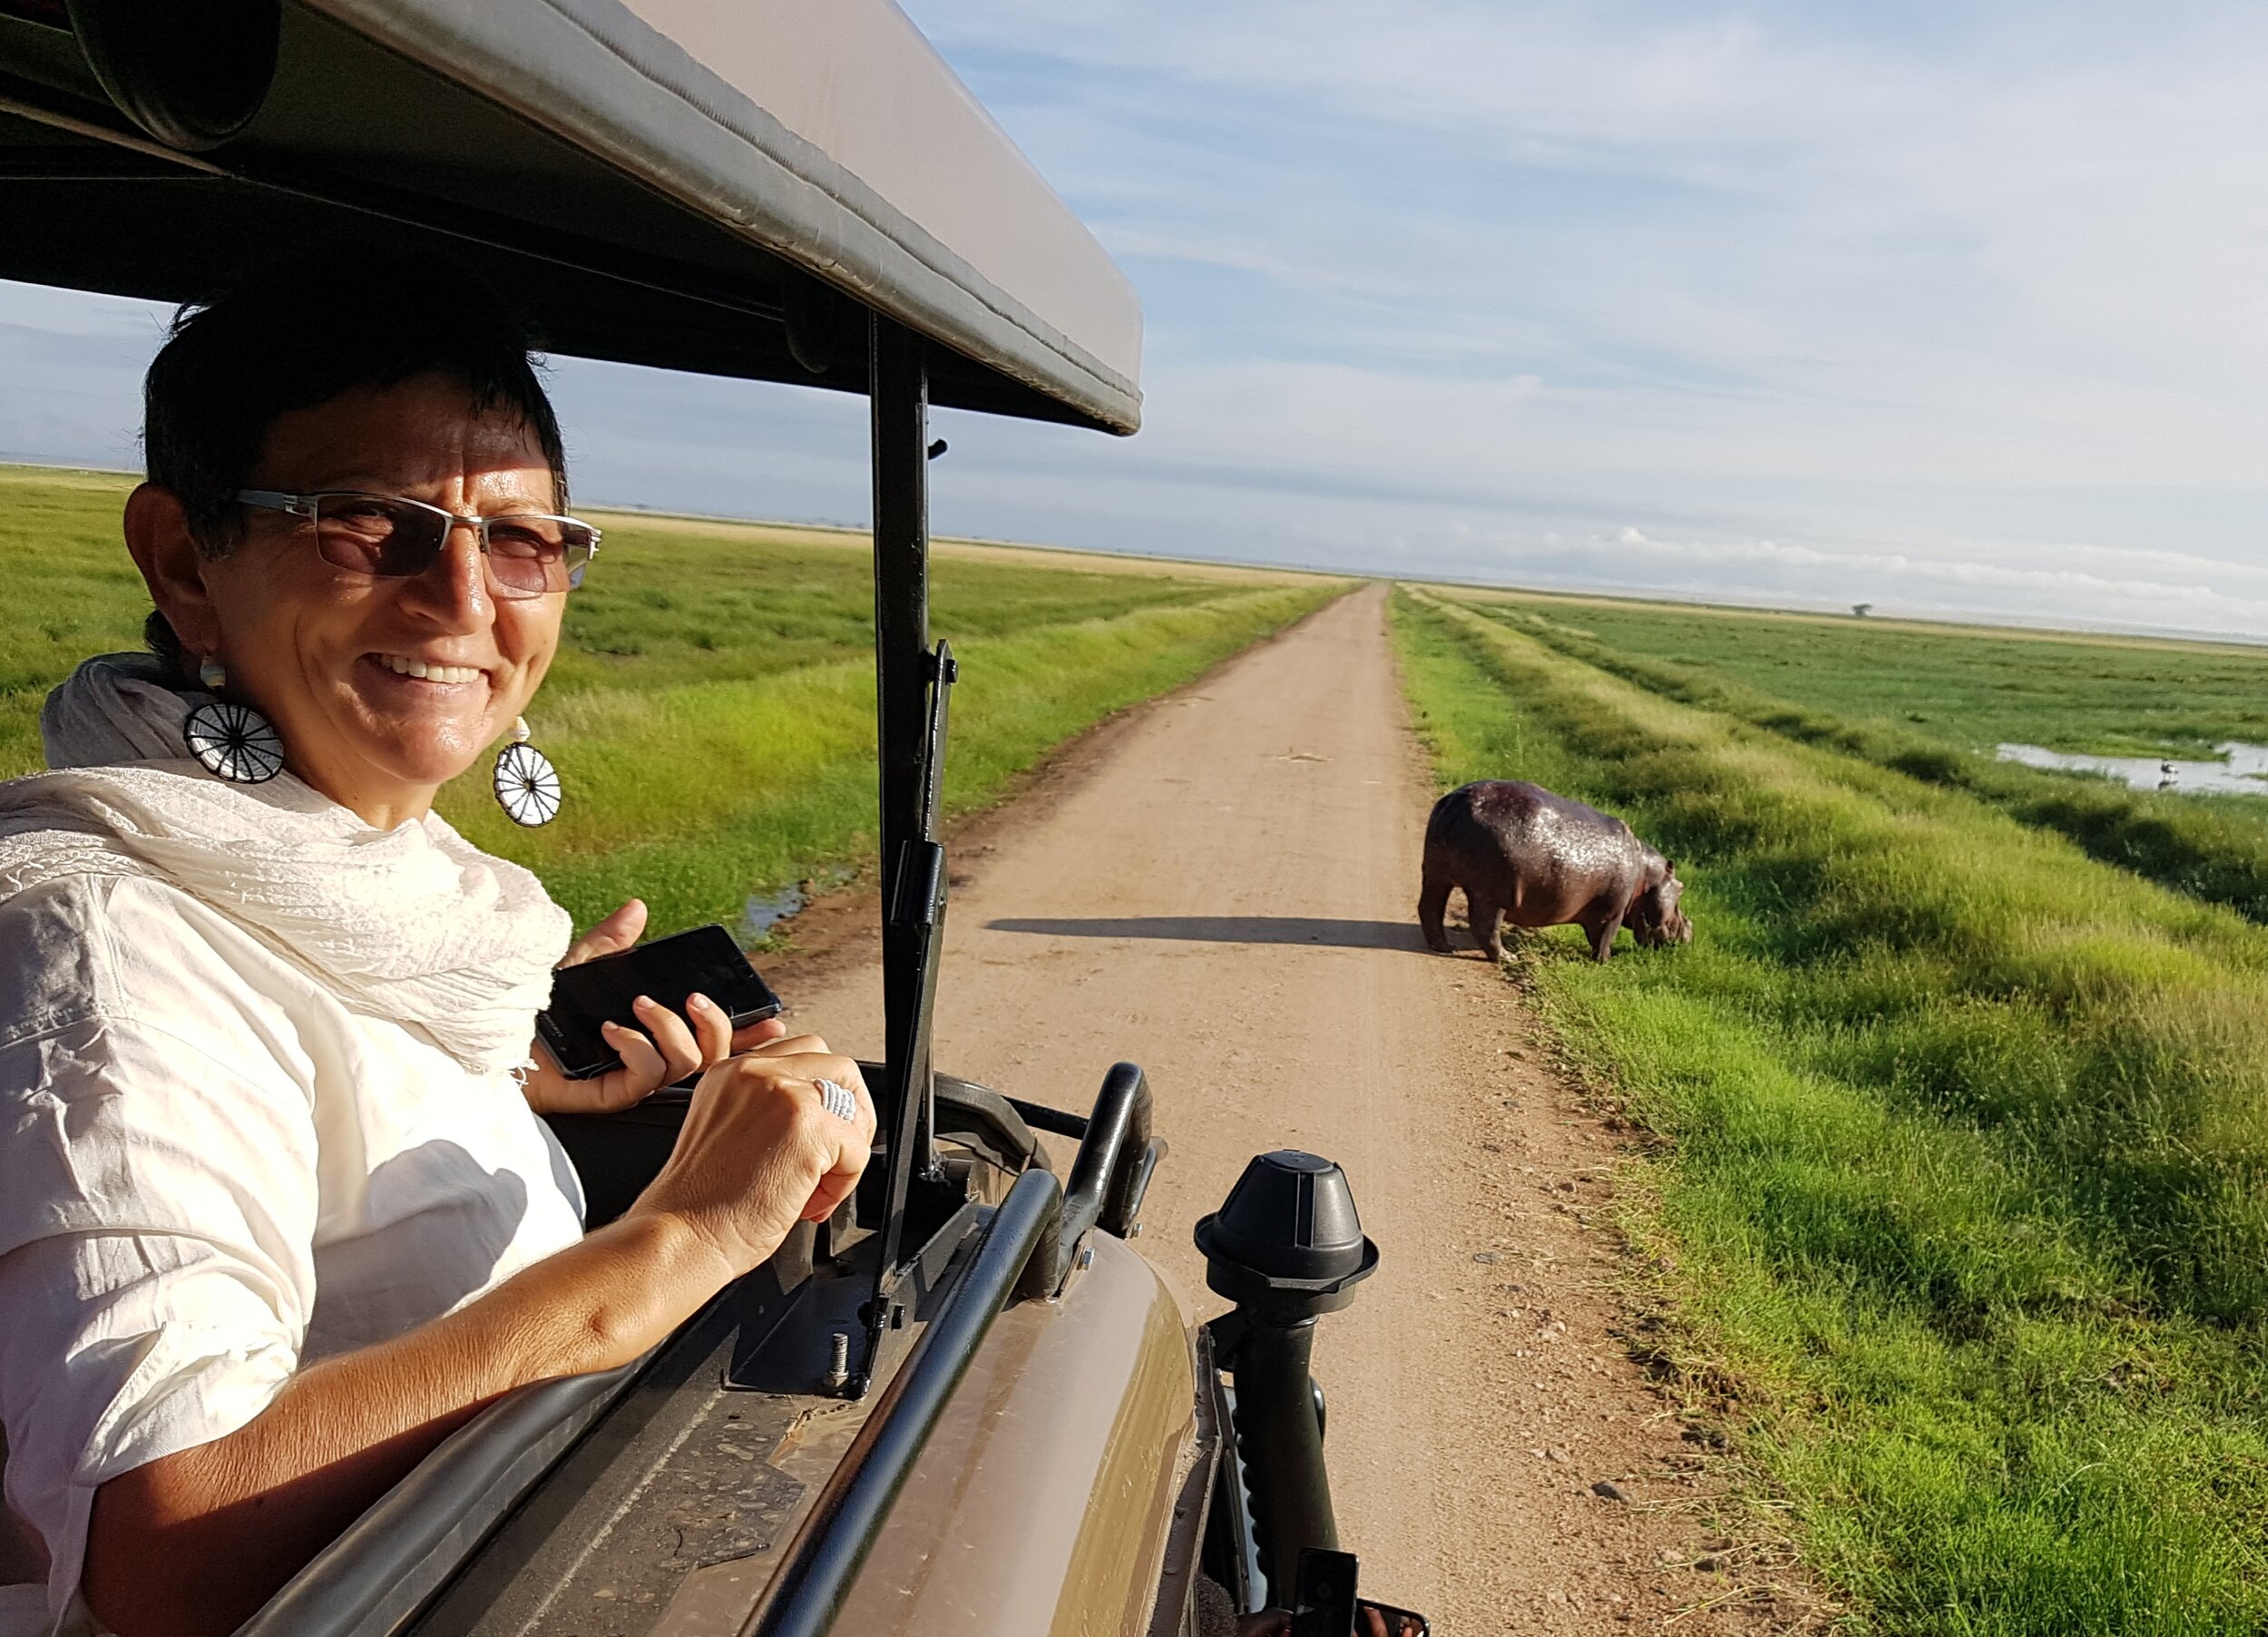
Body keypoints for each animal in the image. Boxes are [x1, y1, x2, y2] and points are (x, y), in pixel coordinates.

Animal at [1415, 779, 1687, 956]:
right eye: (1681, 888)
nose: (1689, 928)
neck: (1648, 876)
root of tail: (1458, 800)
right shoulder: (1613, 911)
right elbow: (1603, 939)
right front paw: (1606, 961)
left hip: (1435, 874)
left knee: (1430, 908)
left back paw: (1445, 947)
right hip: (1492, 894)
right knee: (1485, 927)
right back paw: (1506, 957)